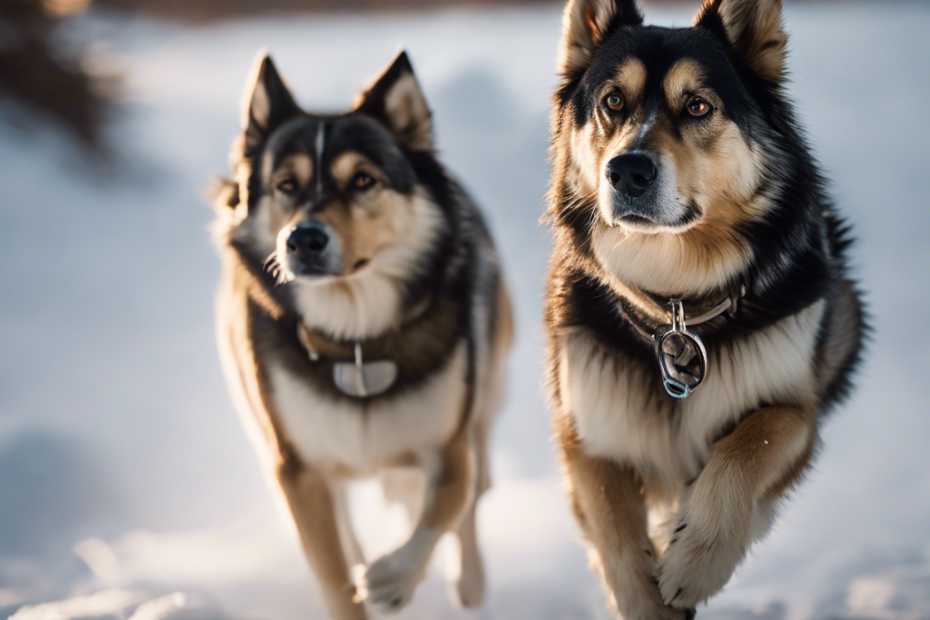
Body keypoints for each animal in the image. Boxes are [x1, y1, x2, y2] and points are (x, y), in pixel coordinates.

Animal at [211, 52, 512, 620]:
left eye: (363, 181)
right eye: (286, 185)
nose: (303, 239)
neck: (353, 341)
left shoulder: (450, 446)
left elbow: (446, 507)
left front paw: (394, 578)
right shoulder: (298, 469)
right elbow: (333, 573)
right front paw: (359, 584)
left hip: (485, 397)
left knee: (475, 493)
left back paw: (470, 582)